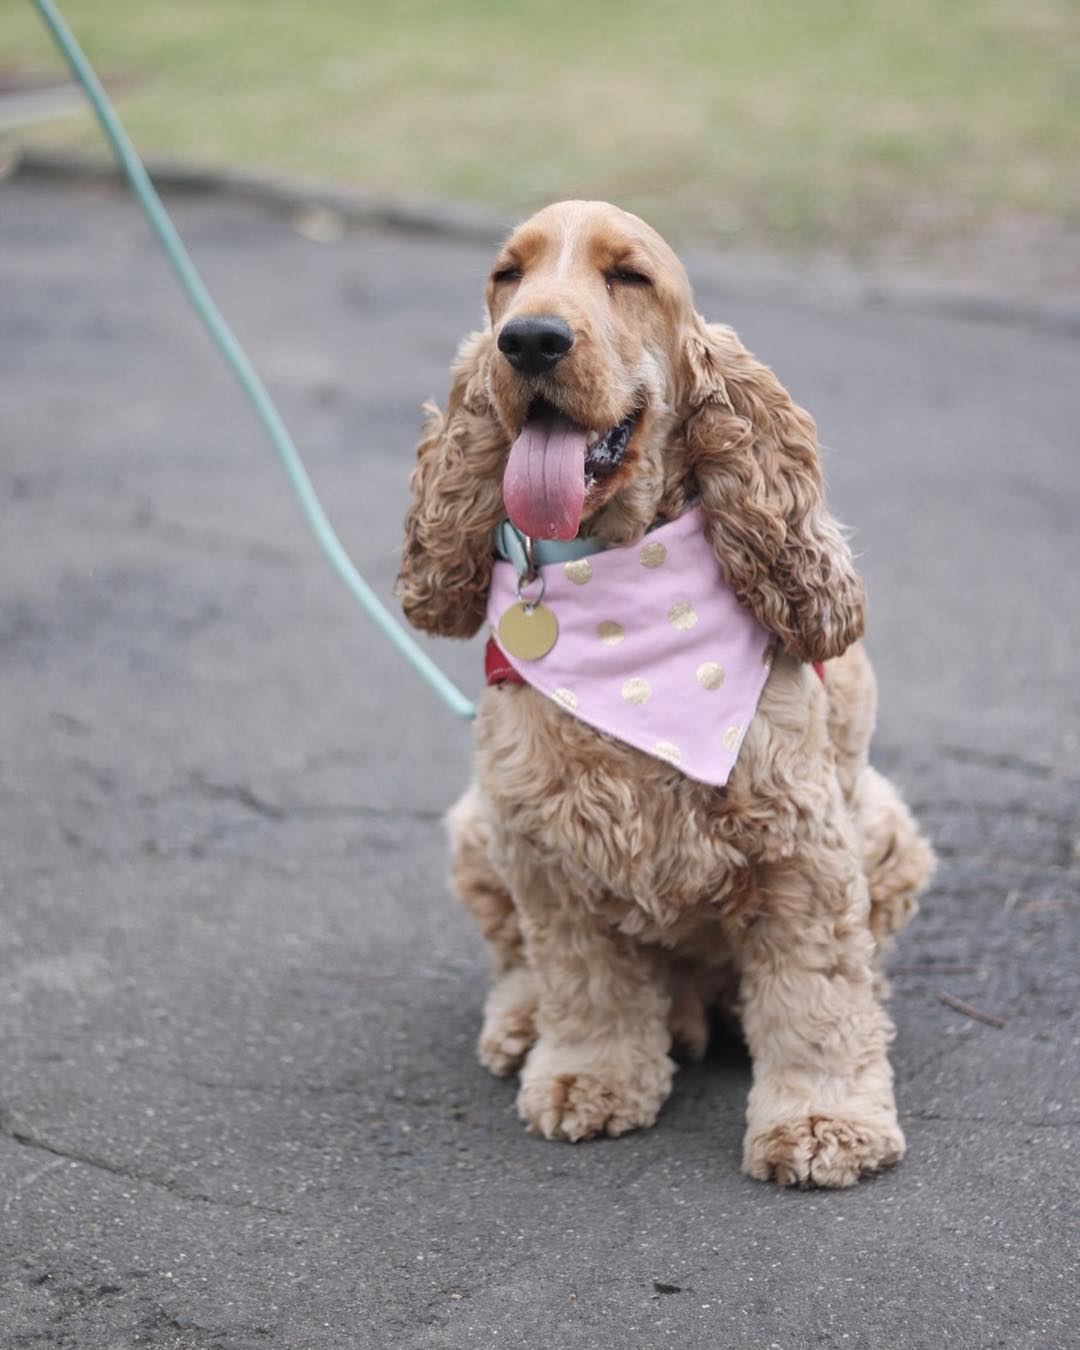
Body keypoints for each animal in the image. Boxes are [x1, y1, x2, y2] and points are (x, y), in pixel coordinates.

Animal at [398, 200, 934, 1187]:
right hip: (476, 827)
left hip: (888, 826)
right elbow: (583, 981)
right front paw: (587, 1078)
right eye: (507, 274)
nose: (529, 340)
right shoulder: (543, 844)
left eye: (629, 276)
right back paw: (523, 1025)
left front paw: (823, 1121)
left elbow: (815, 997)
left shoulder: (802, 847)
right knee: (518, 961)